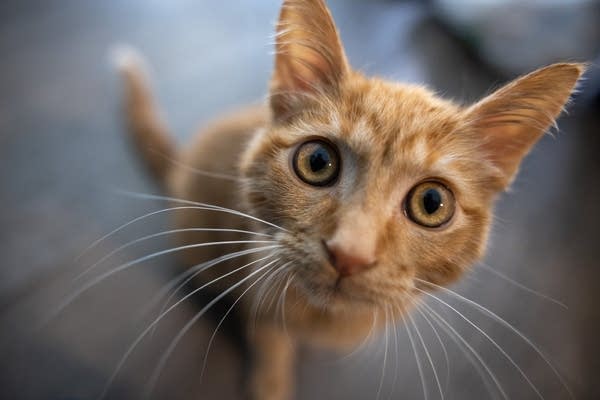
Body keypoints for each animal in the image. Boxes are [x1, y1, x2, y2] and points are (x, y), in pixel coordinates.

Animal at [116, 0, 580, 398]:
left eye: (431, 203)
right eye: (317, 161)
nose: (349, 254)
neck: (323, 318)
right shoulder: (257, 281)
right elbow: (269, 340)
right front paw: (271, 383)